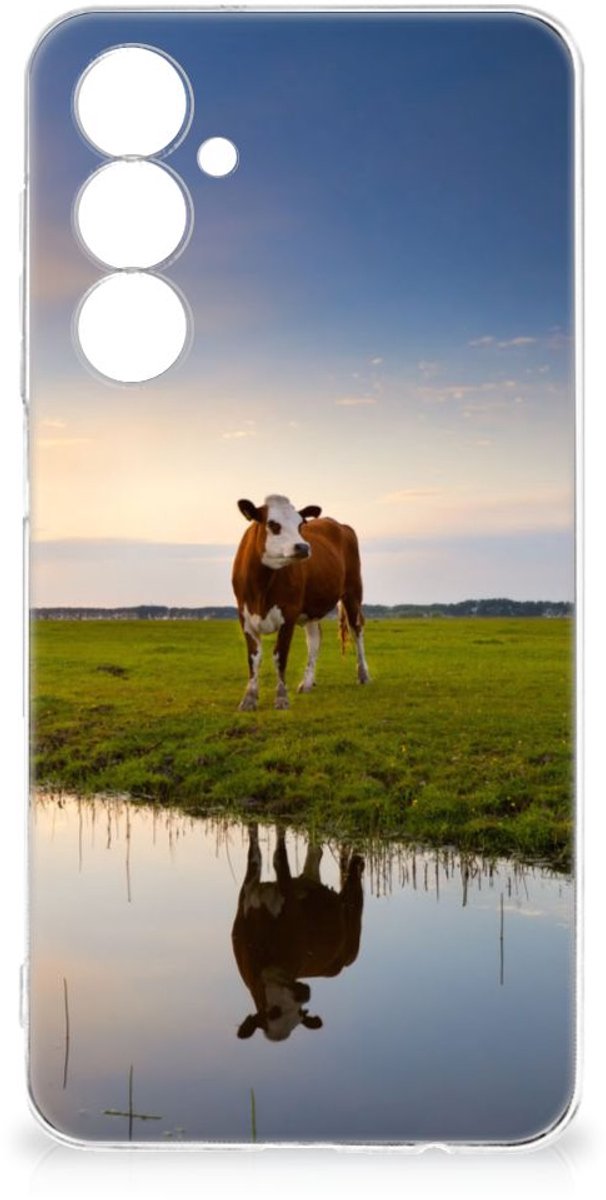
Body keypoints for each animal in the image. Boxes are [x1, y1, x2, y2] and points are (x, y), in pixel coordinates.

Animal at [231, 494, 370, 711]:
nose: (303, 547)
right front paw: (249, 698)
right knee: (314, 639)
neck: (261, 587)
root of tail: (339, 524)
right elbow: (253, 658)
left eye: (300, 524)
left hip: (353, 592)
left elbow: (280, 656)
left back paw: (363, 674)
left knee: (357, 629)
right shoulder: (245, 616)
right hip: (312, 609)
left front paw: (281, 698)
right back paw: (307, 683)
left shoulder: (288, 614)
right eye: (273, 524)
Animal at [231, 824, 364, 1042]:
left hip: (353, 922)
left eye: (300, 1014)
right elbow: (255, 852)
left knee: (354, 881)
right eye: (272, 1012)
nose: (305, 994)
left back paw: (357, 860)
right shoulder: (248, 892)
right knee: (315, 853)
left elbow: (279, 857)